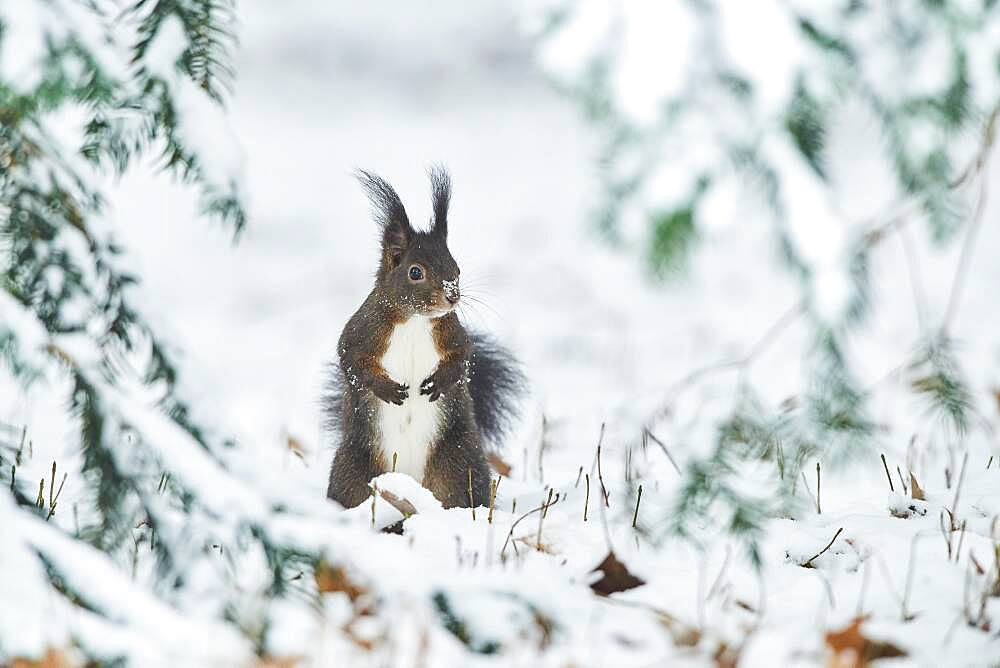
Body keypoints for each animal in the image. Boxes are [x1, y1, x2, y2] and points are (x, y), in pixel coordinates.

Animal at [326, 170, 524, 508]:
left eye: (456, 268)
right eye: (415, 272)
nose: (452, 296)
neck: (415, 321)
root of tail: (409, 485)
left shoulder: (453, 334)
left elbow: (463, 356)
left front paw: (438, 383)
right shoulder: (362, 330)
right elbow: (350, 359)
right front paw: (387, 388)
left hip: (461, 465)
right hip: (353, 470)